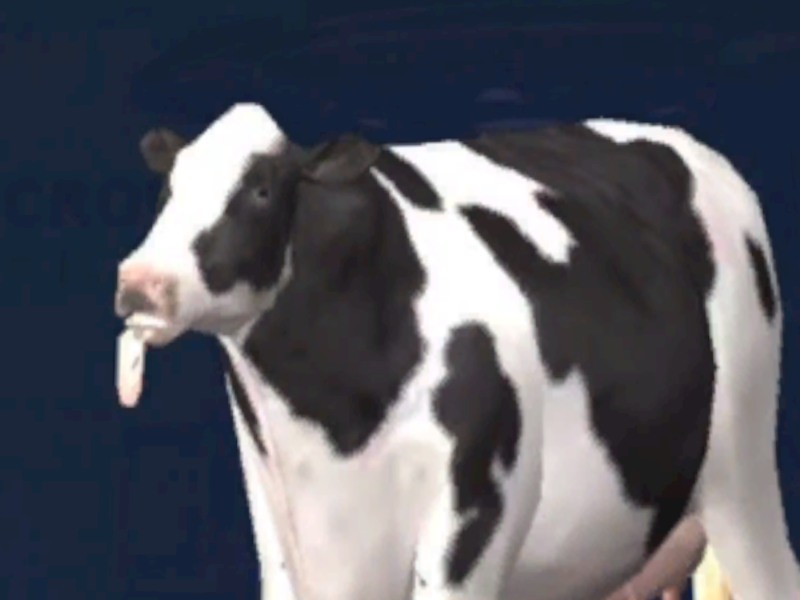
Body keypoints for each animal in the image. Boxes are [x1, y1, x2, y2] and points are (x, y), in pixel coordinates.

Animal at [114, 102, 798, 600]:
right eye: (168, 190)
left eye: (259, 190)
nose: (139, 282)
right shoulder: (279, 527)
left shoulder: (471, 515)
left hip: (742, 479)